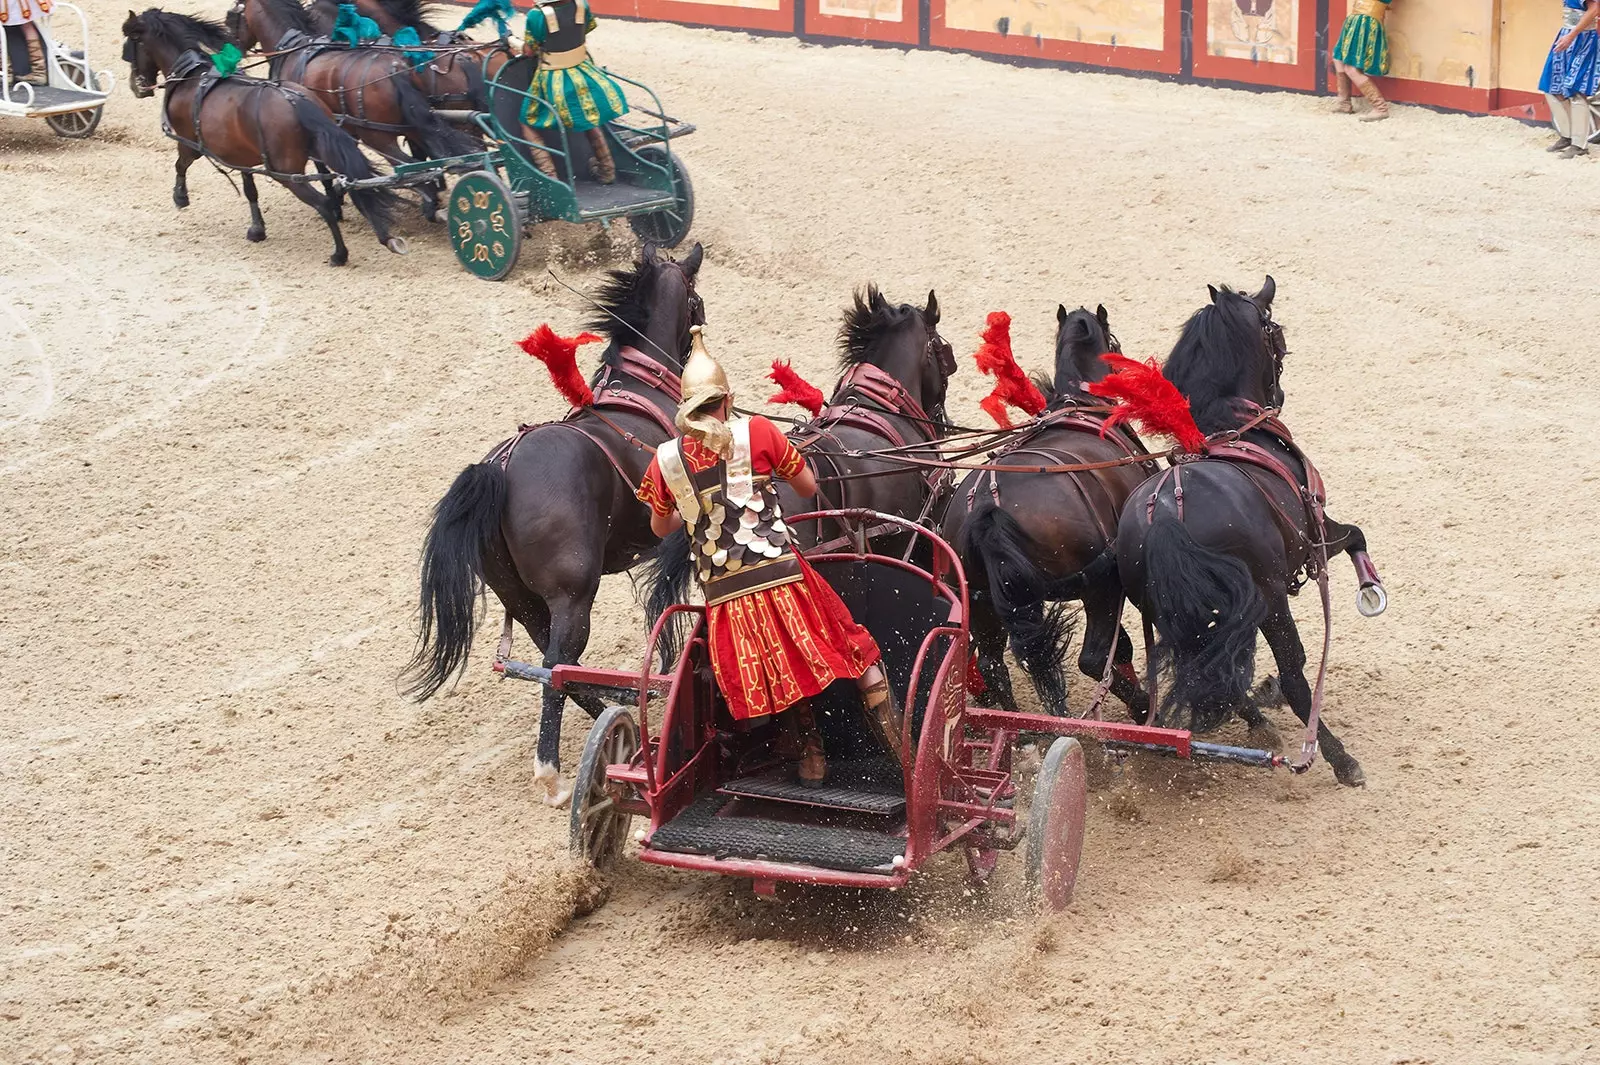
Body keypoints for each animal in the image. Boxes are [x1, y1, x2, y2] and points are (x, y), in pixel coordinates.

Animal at [122, 9, 403, 265]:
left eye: (132, 43)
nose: (135, 87)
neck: (191, 76)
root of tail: (299, 102)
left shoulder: (189, 143)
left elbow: (180, 165)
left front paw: (180, 197)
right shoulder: (240, 155)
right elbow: (250, 191)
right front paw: (257, 229)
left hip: (287, 173)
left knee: (322, 204)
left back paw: (339, 254)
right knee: (351, 184)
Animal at [228, 0, 480, 219]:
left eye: (231, 18)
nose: (233, 53)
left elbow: (324, 171)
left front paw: (336, 202)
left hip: (379, 137)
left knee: (414, 169)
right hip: (420, 127)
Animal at [403, 243, 704, 805]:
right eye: (697, 301)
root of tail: (501, 468)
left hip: (521, 600)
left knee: (554, 664)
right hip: (571, 596)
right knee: (558, 666)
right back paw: (557, 770)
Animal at [934, 307, 1152, 716]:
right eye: (1114, 344)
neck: (1080, 404)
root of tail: (987, 506)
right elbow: (1120, 650)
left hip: (985, 604)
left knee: (993, 665)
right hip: (1099, 589)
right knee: (1093, 658)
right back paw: (1143, 708)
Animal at [1113, 278, 1376, 783]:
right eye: (1278, 336)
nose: (1280, 395)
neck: (1231, 426)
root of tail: (1170, 512)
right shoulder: (1317, 537)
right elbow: (1356, 535)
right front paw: (1371, 587)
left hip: (1179, 611)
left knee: (1213, 670)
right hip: (1268, 600)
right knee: (1293, 675)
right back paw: (1340, 758)